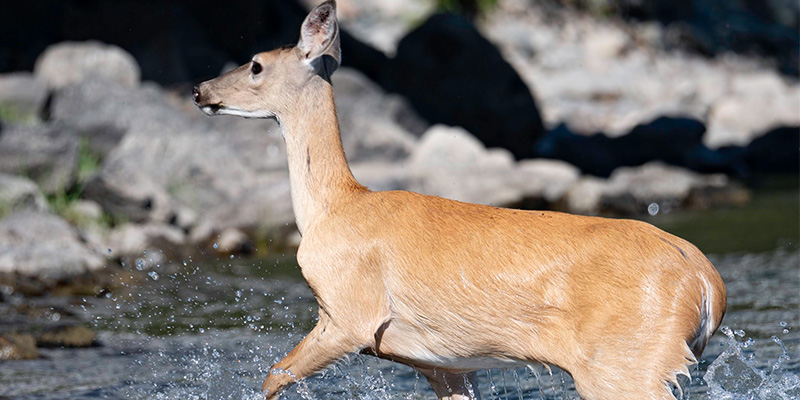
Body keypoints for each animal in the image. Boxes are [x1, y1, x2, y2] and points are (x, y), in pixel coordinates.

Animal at [192, 1, 727, 399]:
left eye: (256, 64)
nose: (199, 89)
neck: (335, 208)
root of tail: (708, 283)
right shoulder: (442, 363)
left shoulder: (350, 313)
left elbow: (272, 376)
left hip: (625, 361)